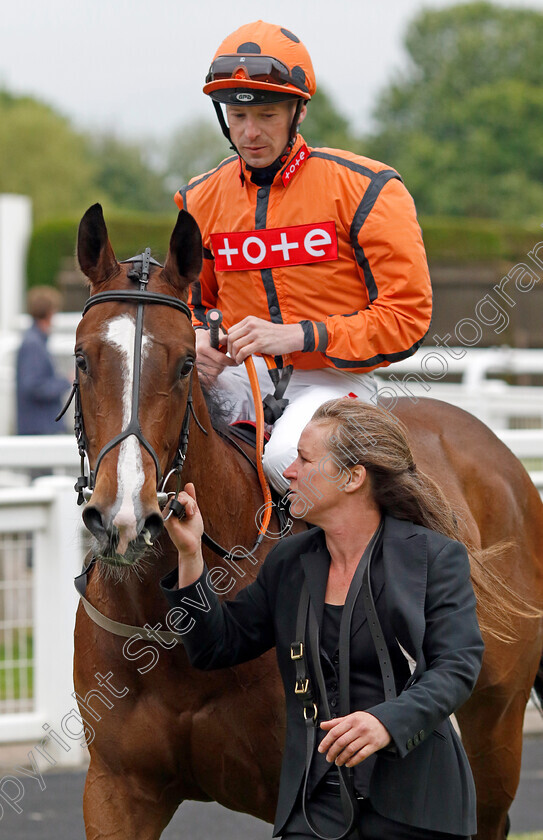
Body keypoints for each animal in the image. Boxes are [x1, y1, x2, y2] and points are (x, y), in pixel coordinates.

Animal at [72, 205, 543, 840]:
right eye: (82, 358)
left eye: (186, 363)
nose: (124, 516)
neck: (165, 620)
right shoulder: (117, 791)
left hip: (496, 731)